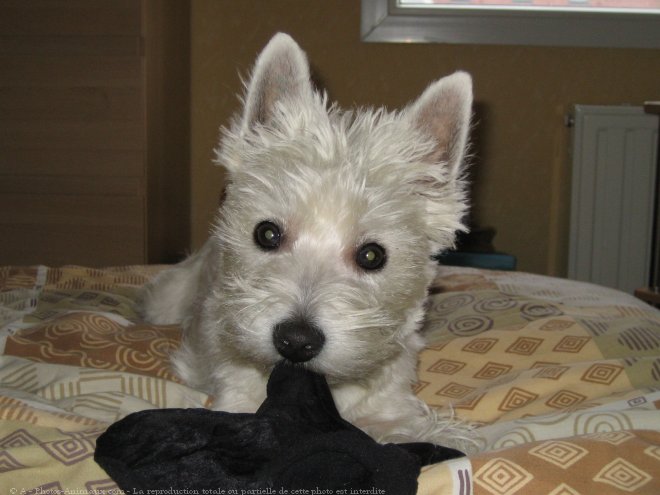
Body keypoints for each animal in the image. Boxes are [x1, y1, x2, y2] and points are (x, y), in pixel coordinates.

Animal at [143, 34, 474, 454]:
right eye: (267, 233)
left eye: (372, 255)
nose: (296, 342)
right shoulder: (236, 399)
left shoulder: (389, 402)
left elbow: (399, 425)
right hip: (167, 299)